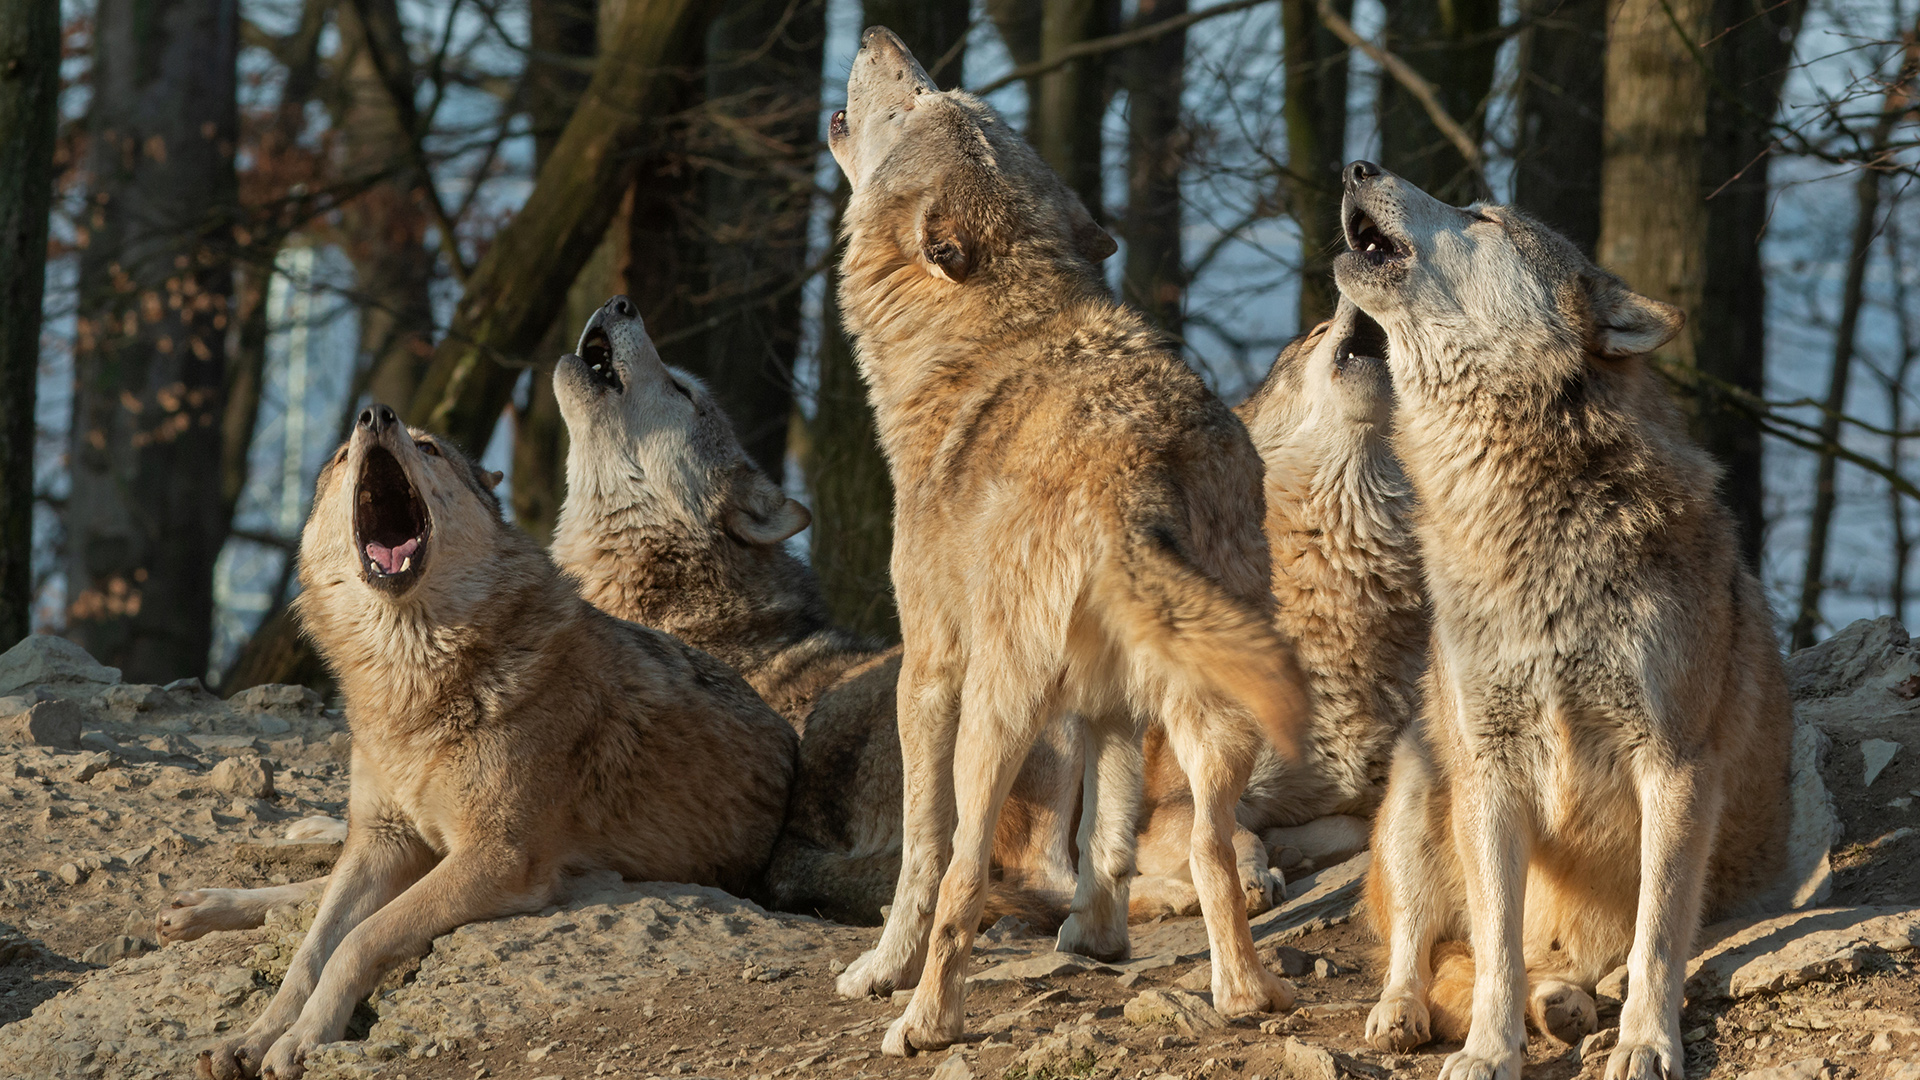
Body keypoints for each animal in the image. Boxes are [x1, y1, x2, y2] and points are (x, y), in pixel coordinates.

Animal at [194, 403, 794, 1076]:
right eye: (344, 456)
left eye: (429, 448)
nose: (375, 413)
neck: (412, 677)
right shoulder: (382, 838)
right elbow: (311, 949)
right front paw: (255, 1034)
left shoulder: (497, 857)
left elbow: (356, 940)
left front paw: (302, 1038)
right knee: (311, 894)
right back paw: (195, 908)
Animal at [1121, 295, 1428, 914]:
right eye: (1316, 331)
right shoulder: (1178, 799)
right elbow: (1229, 833)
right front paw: (1246, 877)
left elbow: (1352, 826)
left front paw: (1291, 848)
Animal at [1336, 159, 1797, 1076]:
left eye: (1482, 215)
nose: (1359, 165)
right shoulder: (1490, 770)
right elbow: (1495, 948)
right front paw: (1489, 1052)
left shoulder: (1675, 767)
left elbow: (1658, 936)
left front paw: (1647, 1042)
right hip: (1421, 776)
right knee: (1421, 944)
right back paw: (1408, 1012)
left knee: (1579, 966)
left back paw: (1572, 1003)